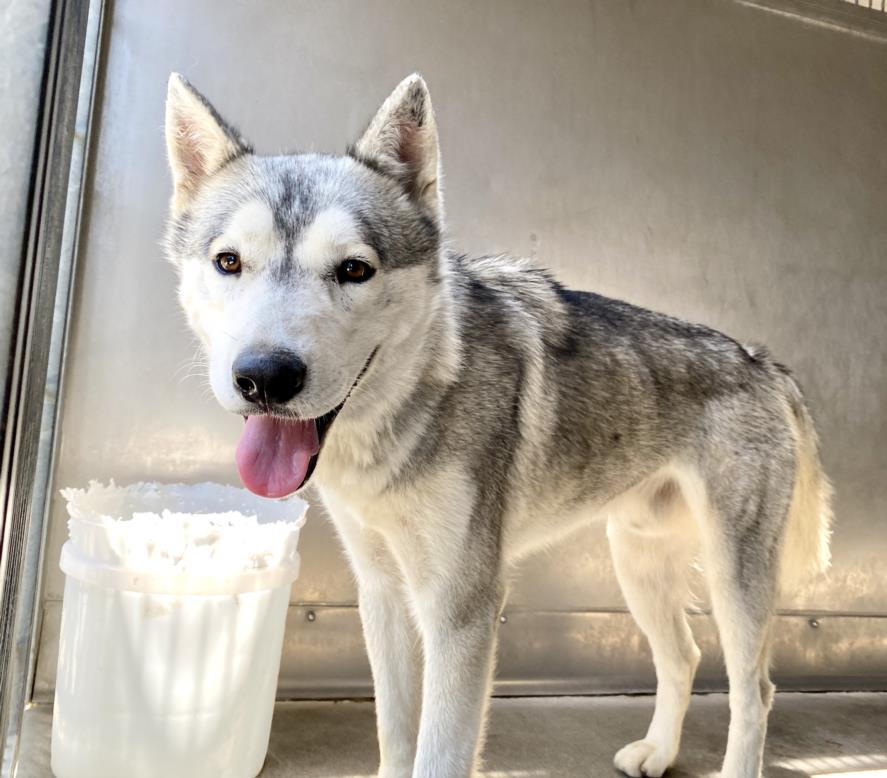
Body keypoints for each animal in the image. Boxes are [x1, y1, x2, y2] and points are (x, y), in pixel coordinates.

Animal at [165, 74, 832, 776]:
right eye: (229, 262)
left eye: (354, 269)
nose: (265, 378)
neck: (408, 411)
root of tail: (761, 360)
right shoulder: (382, 593)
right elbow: (394, 736)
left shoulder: (463, 610)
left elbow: (439, 754)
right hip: (637, 563)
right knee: (684, 657)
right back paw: (656, 751)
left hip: (735, 580)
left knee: (754, 692)